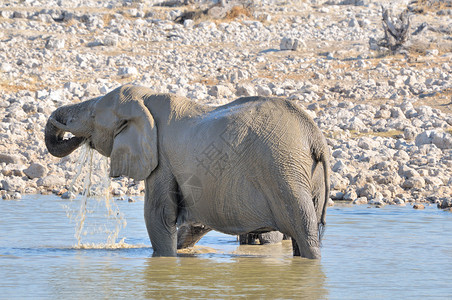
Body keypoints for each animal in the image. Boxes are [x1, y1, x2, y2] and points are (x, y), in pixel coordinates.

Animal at [45, 84, 328, 258]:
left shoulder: (162, 160)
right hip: (305, 177)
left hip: (283, 171)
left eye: (93, 116)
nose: (62, 125)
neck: (147, 99)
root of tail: (315, 137)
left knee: (303, 230)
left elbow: (158, 215)